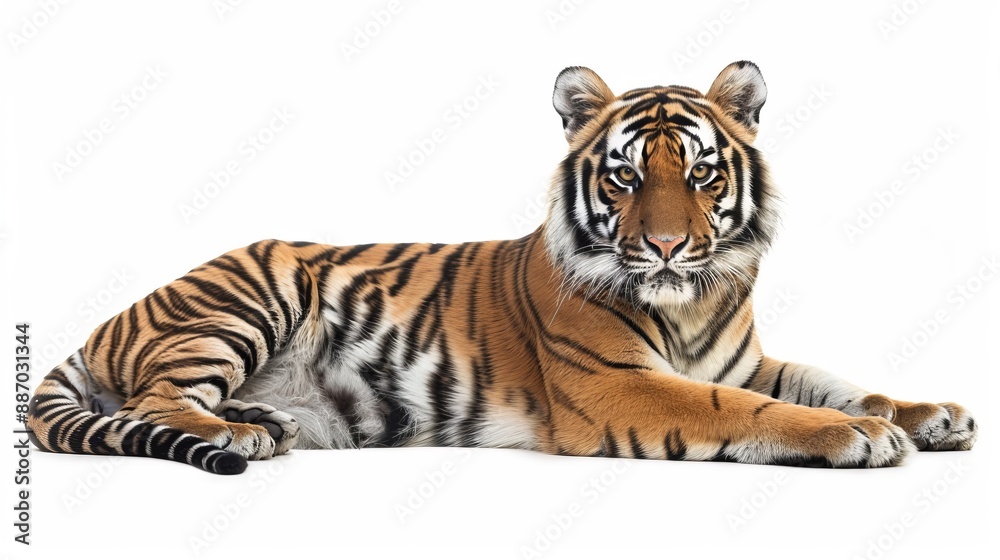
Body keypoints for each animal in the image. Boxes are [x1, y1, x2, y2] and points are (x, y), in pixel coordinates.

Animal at [27, 61, 978, 475]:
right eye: (627, 176)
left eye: (702, 174)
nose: (668, 247)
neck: (691, 304)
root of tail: (110, 322)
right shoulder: (614, 384)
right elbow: (747, 407)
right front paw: (857, 438)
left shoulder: (745, 356)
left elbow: (832, 379)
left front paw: (929, 416)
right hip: (243, 295)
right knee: (157, 399)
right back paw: (236, 434)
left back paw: (264, 423)